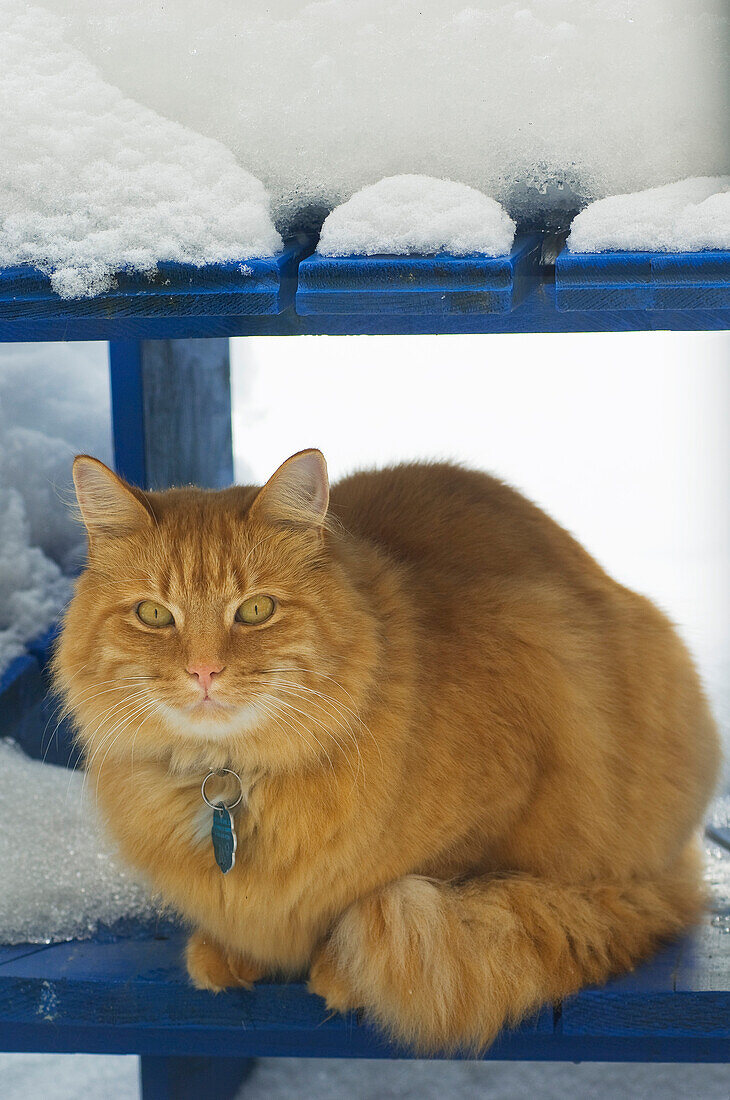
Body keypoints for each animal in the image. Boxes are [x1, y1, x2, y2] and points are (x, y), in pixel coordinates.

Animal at [55, 451, 716, 1051]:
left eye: (255, 610)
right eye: (152, 614)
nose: (203, 672)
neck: (229, 780)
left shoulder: (509, 778)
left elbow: (423, 884)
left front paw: (336, 968)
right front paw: (232, 952)